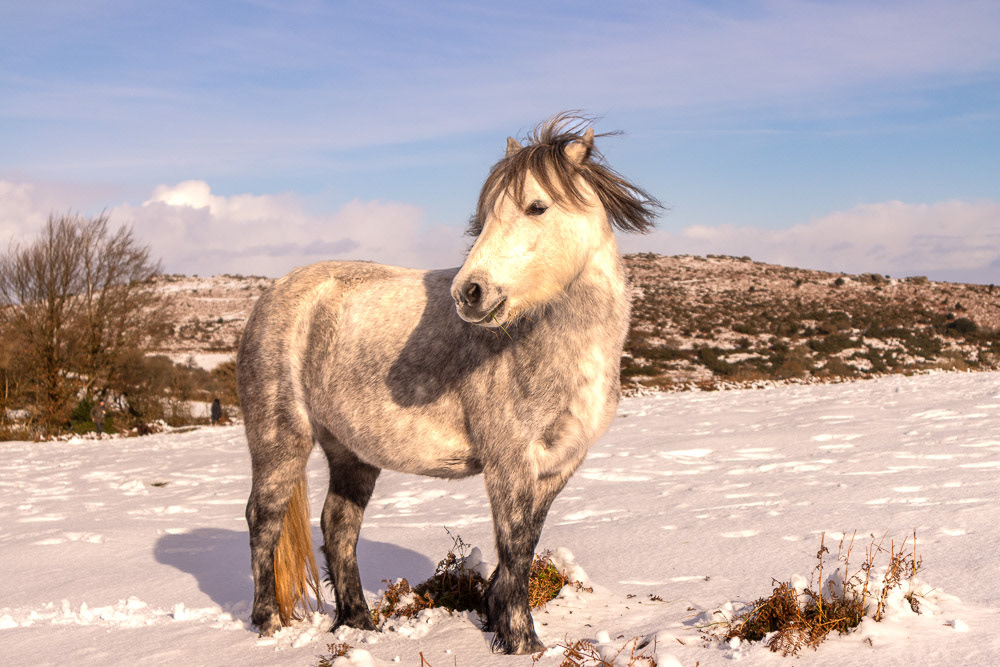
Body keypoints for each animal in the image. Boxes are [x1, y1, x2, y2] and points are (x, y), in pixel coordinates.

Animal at [237, 113, 660, 654]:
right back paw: (269, 621)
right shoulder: (509, 463)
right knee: (264, 520)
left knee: (338, 526)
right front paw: (522, 641)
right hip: (282, 441)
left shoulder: (559, 463)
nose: (469, 293)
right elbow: (515, 546)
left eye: (537, 206)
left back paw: (359, 622)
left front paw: (501, 622)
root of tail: (273, 295)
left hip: (350, 452)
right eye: (486, 216)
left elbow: (525, 543)